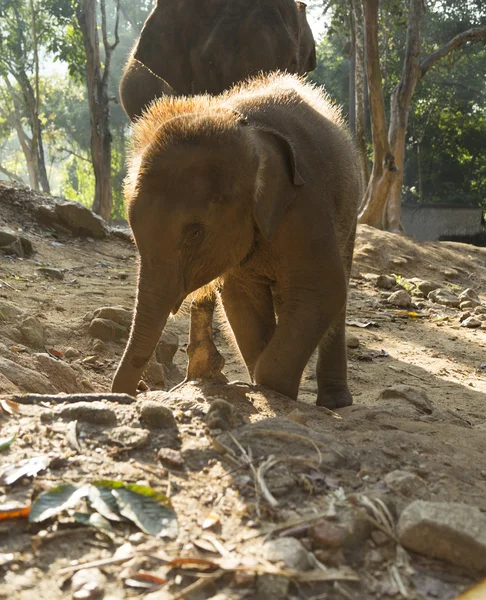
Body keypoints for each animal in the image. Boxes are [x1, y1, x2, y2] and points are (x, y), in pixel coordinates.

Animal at [114, 71, 360, 408]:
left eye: (194, 233)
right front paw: (264, 387)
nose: (139, 389)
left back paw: (335, 403)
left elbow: (324, 287)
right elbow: (241, 298)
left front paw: (273, 391)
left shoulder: (305, 204)